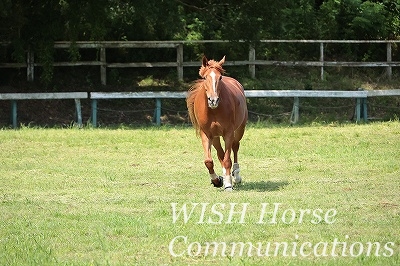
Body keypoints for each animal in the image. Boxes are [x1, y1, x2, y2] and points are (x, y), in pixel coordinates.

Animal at [187, 55, 247, 191]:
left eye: (220, 77)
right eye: (205, 77)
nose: (213, 100)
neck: (214, 111)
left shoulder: (228, 133)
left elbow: (227, 160)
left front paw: (228, 184)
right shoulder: (206, 135)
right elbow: (209, 161)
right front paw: (217, 180)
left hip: (239, 129)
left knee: (235, 147)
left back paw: (236, 175)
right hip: (215, 137)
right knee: (220, 154)